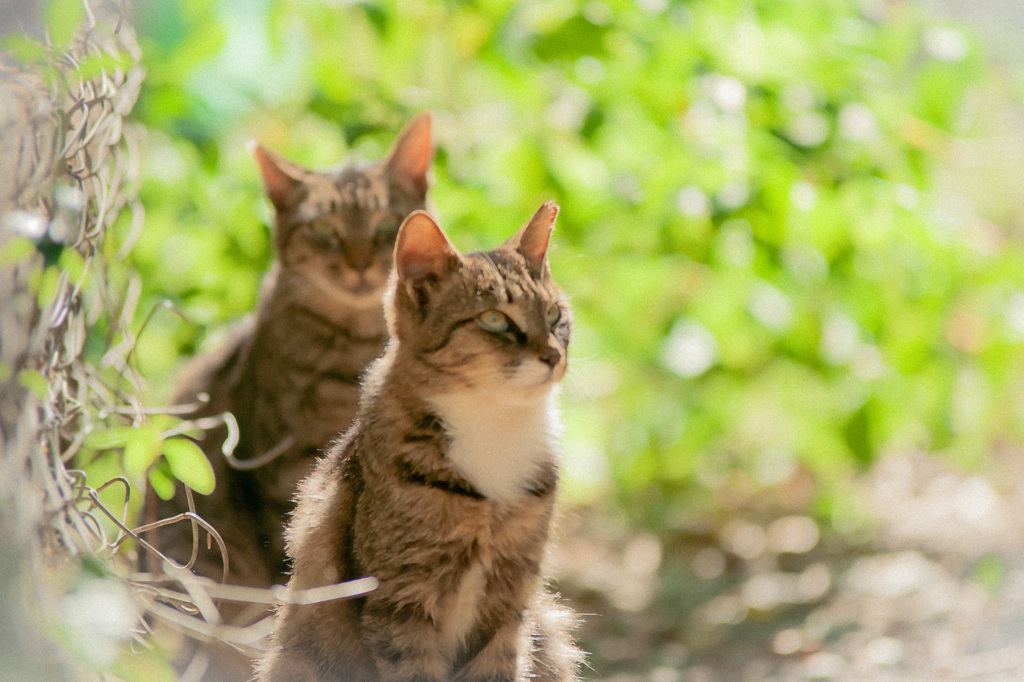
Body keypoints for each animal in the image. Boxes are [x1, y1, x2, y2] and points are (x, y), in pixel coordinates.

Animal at [256, 199, 585, 675]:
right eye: (494, 320)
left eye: (556, 316)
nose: (554, 356)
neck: (493, 421)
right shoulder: (400, 602)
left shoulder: (513, 601)